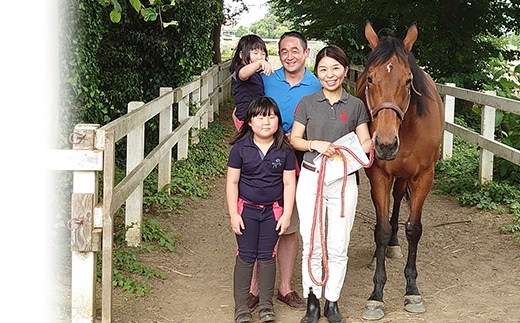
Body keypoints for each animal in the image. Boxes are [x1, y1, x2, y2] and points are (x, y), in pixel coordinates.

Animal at [356, 22, 444, 322]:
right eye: (370, 79)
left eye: (407, 80)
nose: (385, 144)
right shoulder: (378, 175)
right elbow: (381, 229)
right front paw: (376, 296)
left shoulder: (423, 177)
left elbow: (414, 229)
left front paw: (412, 291)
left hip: (405, 177)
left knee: (397, 200)